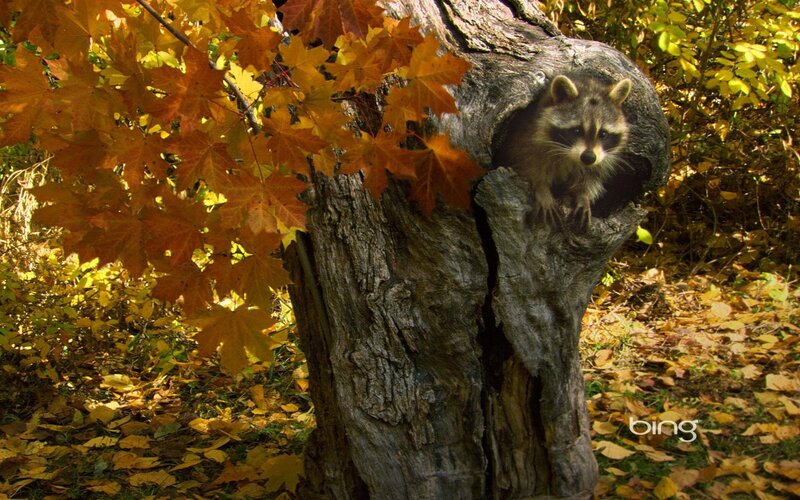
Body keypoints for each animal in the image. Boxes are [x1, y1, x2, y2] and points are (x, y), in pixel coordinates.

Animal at [504, 74, 632, 229]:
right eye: (577, 131)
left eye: (603, 134)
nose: (588, 157)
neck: (570, 156)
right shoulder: (526, 138)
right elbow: (528, 165)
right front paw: (541, 188)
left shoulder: (601, 159)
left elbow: (591, 177)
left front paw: (583, 196)